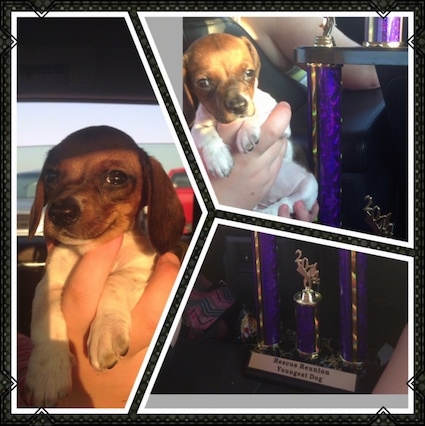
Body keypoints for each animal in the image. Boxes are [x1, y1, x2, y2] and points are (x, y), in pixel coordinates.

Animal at [24, 125, 184, 406]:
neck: (90, 249)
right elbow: (47, 320)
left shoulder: (141, 271)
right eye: (52, 175)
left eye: (116, 178)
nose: (60, 212)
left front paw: (106, 332)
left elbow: (114, 280)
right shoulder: (50, 282)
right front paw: (47, 370)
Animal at [181, 32, 314, 216]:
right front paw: (218, 157)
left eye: (249, 73)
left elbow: (258, 114)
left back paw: (269, 212)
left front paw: (247, 131)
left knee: (286, 202)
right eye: (203, 83)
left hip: (309, 187)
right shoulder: (199, 125)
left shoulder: (281, 122)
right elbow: (206, 135)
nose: (238, 106)